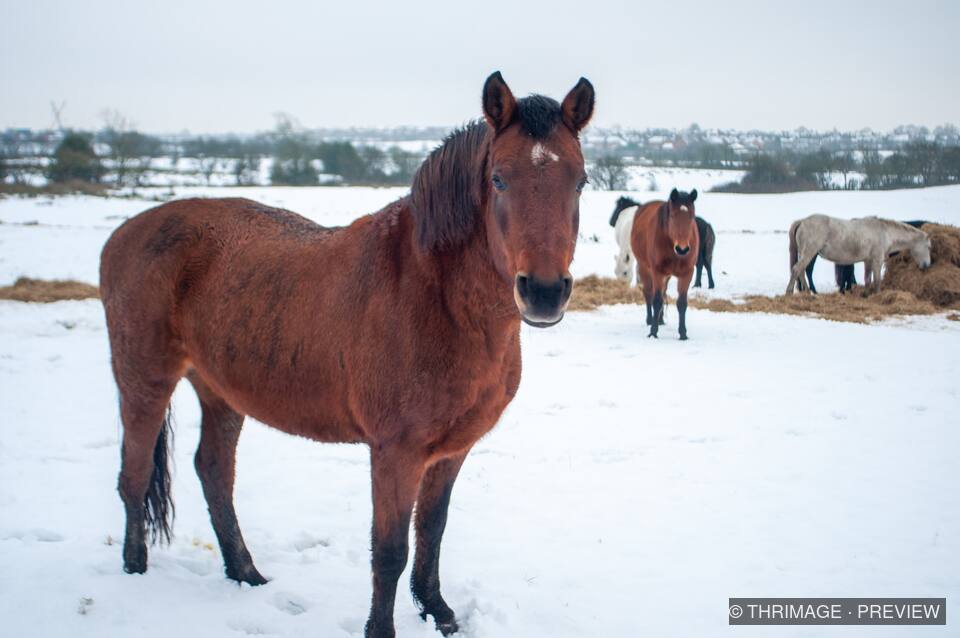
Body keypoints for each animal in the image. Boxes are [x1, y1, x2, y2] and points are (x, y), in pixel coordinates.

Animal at [99, 71, 595, 638]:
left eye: (579, 181)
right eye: (498, 179)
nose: (544, 292)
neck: (436, 296)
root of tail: (123, 234)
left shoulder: (451, 450)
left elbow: (432, 532)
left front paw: (438, 612)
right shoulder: (395, 452)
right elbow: (390, 550)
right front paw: (382, 629)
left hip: (220, 391)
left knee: (214, 472)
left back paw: (245, 572)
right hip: (145, 380)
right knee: (135, 474)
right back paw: (136, 571)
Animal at [631, 188, 699, 339]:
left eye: (692, 217)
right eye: (673, 216)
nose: (682, 249)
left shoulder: (687, 273)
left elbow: (682, 303)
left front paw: (683, 333)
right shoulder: (657, 271)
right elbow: (656, 300)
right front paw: (653, 332)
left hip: (667, 276)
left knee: (663, 293)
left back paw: (660, 319)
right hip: (645, 268)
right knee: (649, 293)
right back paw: (650, 320)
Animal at [786, 214, 930, 295]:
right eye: (928, 247)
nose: (927, 265)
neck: (884, 232)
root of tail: (802, 221)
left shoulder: (868, 261)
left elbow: (867, 280)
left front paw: (865, 294)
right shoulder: (877, 260)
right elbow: (877, 280)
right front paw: (877, 295)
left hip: (805, 253)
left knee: (801, 271)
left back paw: (807, 293)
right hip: (809, 253)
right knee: (797, 269)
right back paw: (790, 292)